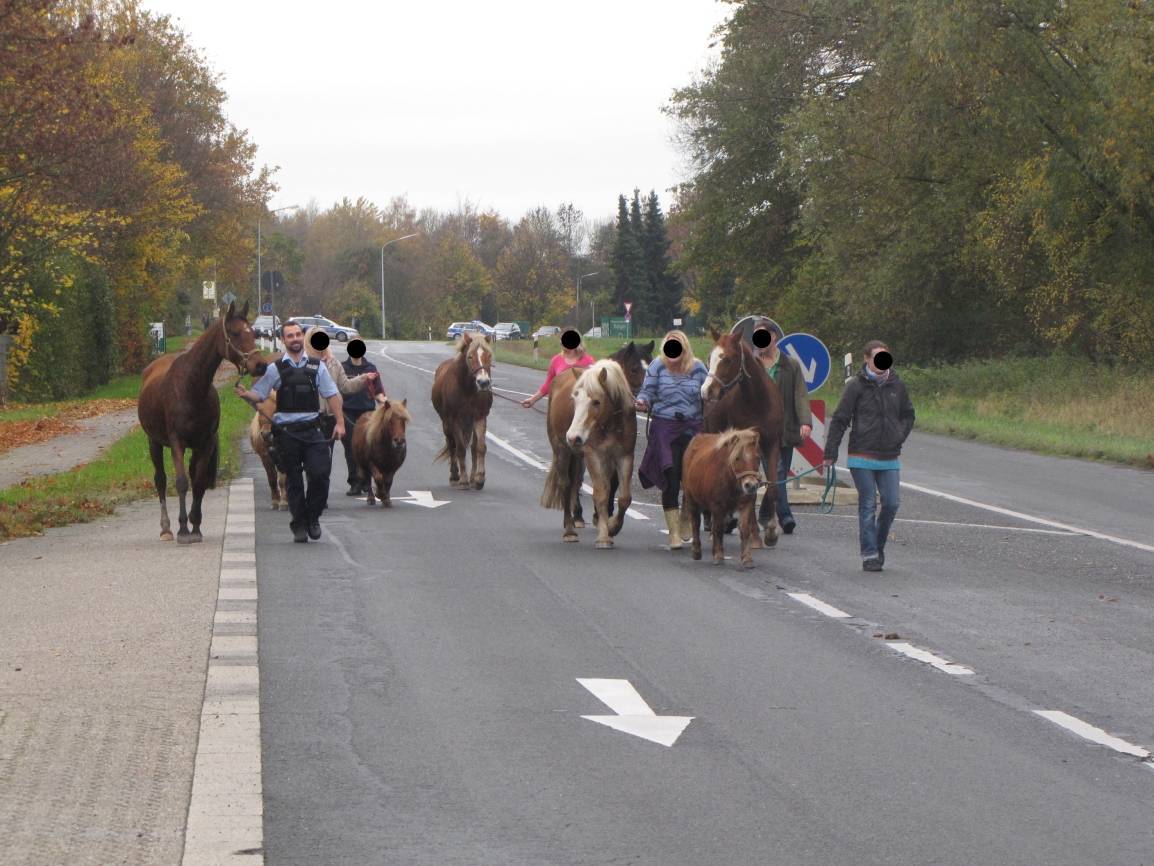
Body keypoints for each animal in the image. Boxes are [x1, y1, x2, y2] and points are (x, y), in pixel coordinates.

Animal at [138, 300, 264, 542]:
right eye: (234, 333)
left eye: (253, 332)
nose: (260, 365)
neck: (192, 386)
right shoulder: (176, 442)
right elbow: (181, 482)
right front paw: (183, 530)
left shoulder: (205, 443)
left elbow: (198, 483)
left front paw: (195, 526)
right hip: (154, 442)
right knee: (160, 480)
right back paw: (166, 528)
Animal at [429, 332, 491, 491]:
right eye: (470, 357)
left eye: (488, 355)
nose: (483, 382)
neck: (468, 389)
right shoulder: (454, 419)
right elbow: (460, 448)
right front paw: (463, 480)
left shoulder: (480, 417)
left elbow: (480, 447)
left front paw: (479, 478)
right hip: (446, 423)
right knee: (452, 445)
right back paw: (455, 476)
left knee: (473, 447)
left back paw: (472, 478)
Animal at [537, 341, 655, 540]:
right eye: (634, 369)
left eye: (652, 365)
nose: (646, 401)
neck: (611, 419)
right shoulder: (594, 454)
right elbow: (601, 488)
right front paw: (601, 520)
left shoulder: (622, 455)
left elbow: (617, 491)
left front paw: (610, 522)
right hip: (562, 448)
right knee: (567, 483)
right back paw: (570, 526)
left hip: (577, 453)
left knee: (576, 480)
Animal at [683, 429, 766, 570]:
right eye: (737, 458)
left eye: (757, 457)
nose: (751, 485)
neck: (731, 478)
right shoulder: (718, 505)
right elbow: (718, 528)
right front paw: (718, 555)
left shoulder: (746, 503)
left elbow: (744, 529)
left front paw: (747, 558)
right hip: (692, 500)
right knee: (695, 523)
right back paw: (696, 551)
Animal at [697, 327, 789, 545]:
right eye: (710, 357)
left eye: (728, 359)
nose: (706, 391)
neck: (758, 400)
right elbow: (749, 492)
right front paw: (752, 532)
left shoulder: (771, 444)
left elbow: (772, 488)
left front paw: (770, 530)